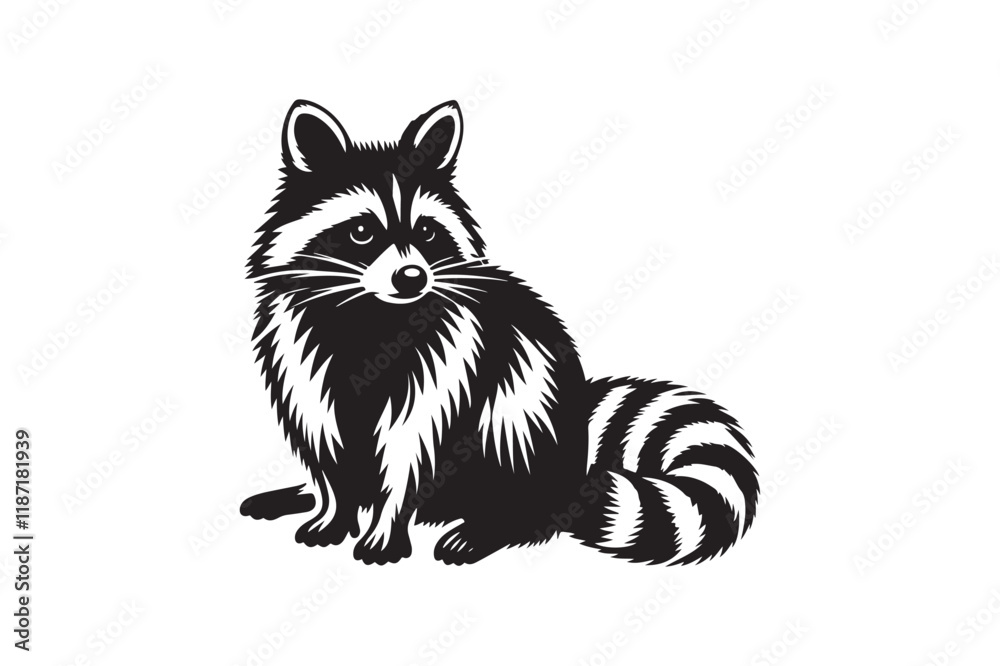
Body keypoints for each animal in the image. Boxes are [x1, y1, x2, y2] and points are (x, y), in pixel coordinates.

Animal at [242, 100, 759, 565]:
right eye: (362, 232)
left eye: (426, 233)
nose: (412, 278)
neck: (370, 315)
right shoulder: (301, 352)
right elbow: (325, 442)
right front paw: (333, 510)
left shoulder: (447, 359)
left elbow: (412, 451)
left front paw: (386, 528)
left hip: (526, 424)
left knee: (514, 448)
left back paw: (492, 525)